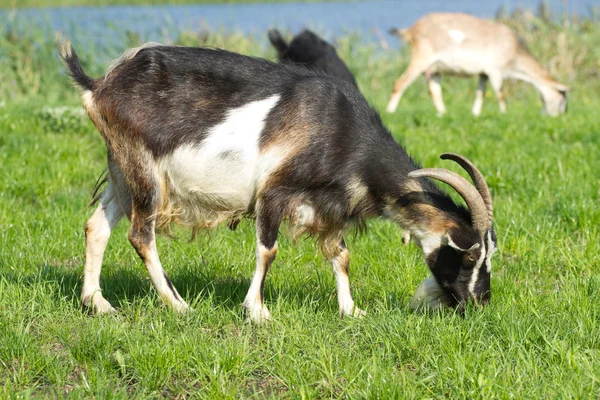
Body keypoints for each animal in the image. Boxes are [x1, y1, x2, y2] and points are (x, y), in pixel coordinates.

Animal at [59, 38, 496, 322]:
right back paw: (179, 305)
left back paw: (96, 303)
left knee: (96, 225)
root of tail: (99, 84)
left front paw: (351, 310)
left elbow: (341, 255)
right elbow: (267, 251)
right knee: (141, 235)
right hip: (145, 170)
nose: (480, 303)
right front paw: (258, 312)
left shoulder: (330, 204)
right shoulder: (274, 191)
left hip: (122, 168)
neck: (341, 132)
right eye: (470, 254)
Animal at [386, 12, 568, 115]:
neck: (516, 53)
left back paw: (443, 113)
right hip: (421, 58)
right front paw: (504, 114)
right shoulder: (495, 71)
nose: (559, 116)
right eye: (562, 99)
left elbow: (480, 93)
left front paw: (475, 113)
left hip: (435, 69)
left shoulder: (484, 73)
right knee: (400, 83)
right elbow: (501, 94)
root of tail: (412, 30)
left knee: (435, 91)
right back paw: (390, 111)